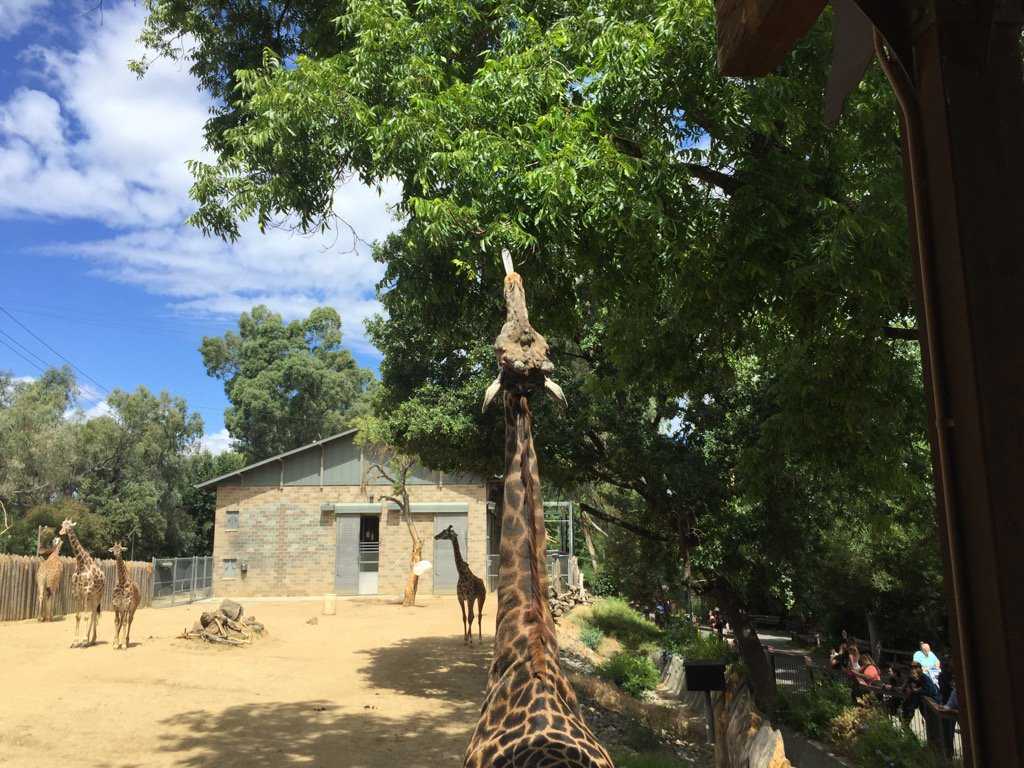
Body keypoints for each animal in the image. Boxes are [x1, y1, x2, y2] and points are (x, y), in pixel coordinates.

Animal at [59, 519, 104, 648]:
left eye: (69, 527)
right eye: (62, 525)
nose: (61, 532)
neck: (80, 563)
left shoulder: (86, 591)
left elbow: (85, 616)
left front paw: (83, 641)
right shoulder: (77, 592)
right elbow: (78, 616)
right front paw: (75, 642)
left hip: (98, 595)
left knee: (94, 613)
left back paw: (91, 640)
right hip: (92, 596)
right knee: (93, 612)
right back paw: (91, 640)